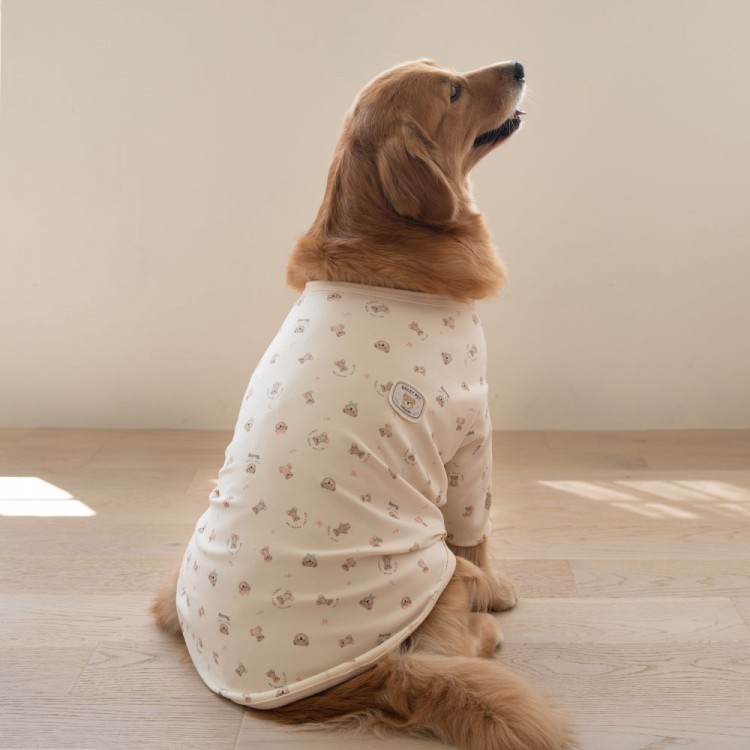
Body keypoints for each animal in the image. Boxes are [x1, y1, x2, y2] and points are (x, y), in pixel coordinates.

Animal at [152, 59, 574, 750]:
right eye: (453, 92)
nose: (516, 66)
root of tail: (360, 680)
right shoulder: (472, 436)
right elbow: (477, 535)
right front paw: (499, 589)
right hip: (432, 572)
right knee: (460, 625)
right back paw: (486, 622)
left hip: (178, 587)